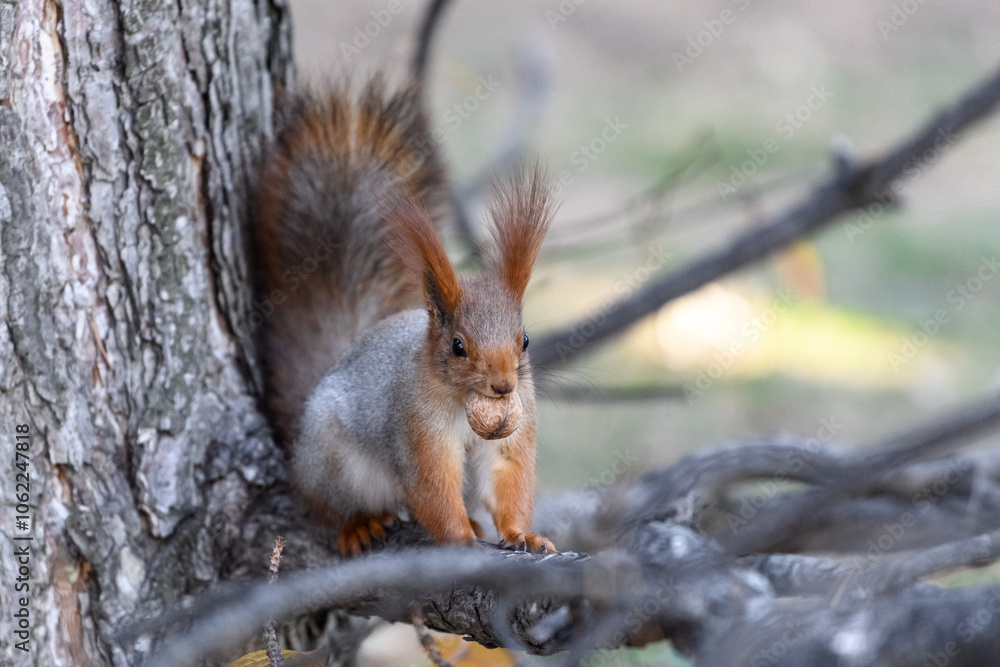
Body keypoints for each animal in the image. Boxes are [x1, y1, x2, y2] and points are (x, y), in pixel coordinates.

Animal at [252, 77, 558, 556]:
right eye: (458, 346)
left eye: (524, 340)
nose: (504, 385)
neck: (464, 403)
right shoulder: (417, 432)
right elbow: (432, 490)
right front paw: (460, 539)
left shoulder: (514, 433)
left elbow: (509, 483)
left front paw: (523, 534)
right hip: (335, 465)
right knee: (329, 507)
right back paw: (359, 524)